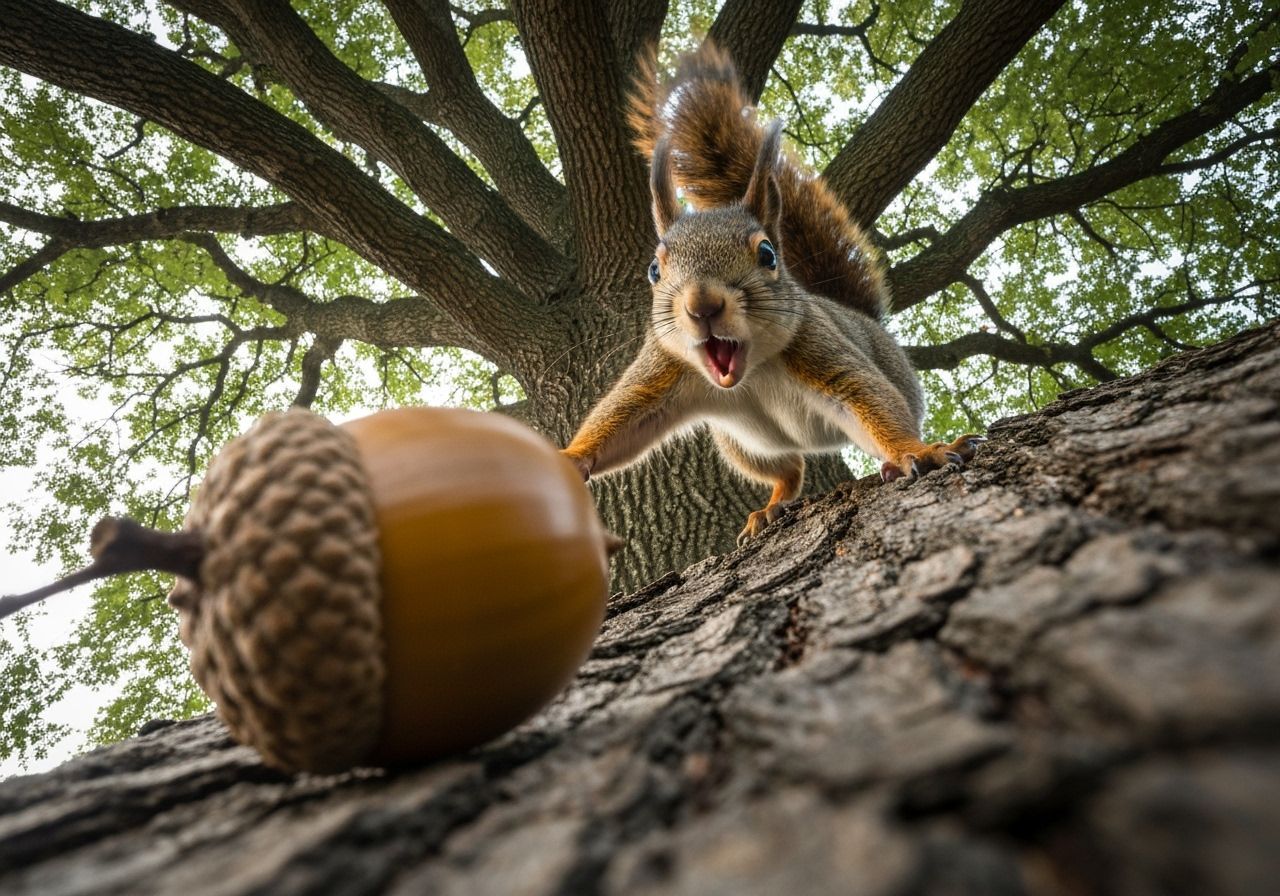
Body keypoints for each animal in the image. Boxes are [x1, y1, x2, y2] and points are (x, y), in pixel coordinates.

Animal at [562, 43, 983, 545]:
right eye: (653, 269)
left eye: (767, 254)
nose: (702, 305)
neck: (753, 370)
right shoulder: (663, 368)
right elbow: (621, 418)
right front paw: (568, 458)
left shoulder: (817, 348)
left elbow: (867, 396)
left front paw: (917, 452)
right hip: (745, 448)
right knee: (790, 470)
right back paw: (770, 507)